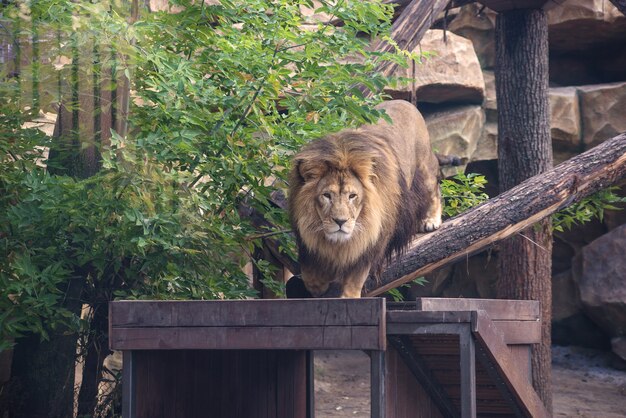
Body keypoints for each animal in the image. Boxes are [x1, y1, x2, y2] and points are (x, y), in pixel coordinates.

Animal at [286, 100, 442, 298]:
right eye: (327, 195)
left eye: (352, 196)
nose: (340, 221)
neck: (338, 244)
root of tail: (403, 101)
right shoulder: (308, 245)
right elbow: (309, 275)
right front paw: (318, 285)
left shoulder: (370, 242)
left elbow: (356, 277)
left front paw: (349, 296)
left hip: (425, 167)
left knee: (435, 190)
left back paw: (431, 220)